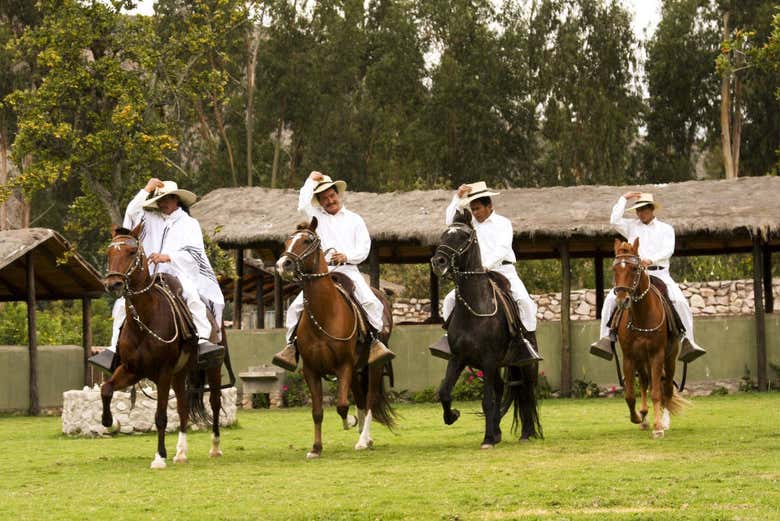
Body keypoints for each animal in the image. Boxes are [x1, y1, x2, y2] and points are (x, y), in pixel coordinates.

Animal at [102, 222, 227, 468]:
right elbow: (106, 389)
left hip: (212, 368)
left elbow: (160, 416)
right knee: (183, 407)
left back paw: (215, 447)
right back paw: (181, 453)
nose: (114, 284)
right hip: (180, 374)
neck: (144, 321)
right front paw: (110, 423)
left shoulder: (163, 373)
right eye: (109, 252)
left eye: (132, 252)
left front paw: (159, 457)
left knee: (215, 403)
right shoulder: (132, 370)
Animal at [276, 217, 396, 458]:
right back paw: (364, 437)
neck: (325, 313)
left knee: (369, 399)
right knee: (360, 397)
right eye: (286, 242)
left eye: (307, 240)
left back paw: (363, 439)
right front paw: (316, 448)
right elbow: (317, 411)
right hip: (358, 370)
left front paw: (350, 421)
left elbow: (341, 405)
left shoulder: (344, 366)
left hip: (373, 366)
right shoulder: (311, 370)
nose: (283, 265)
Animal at [430, 210, 540, 446]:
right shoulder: (458, 358)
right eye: (444, 234)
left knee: (526, 391)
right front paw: (453, 415)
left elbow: (487, 400)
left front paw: (487, 438)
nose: (438, 262)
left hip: (525, 364)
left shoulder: (488, 360)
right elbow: (445, 392)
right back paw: (498, 431)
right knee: (501, 388)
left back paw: (526, 433)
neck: (474, 310)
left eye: (464, 236)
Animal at [616, 238, 688, 436]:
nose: (622, 300)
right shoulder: (629, 357)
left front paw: (658, 427)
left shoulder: (657, 355)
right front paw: (637, 417)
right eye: (614, 268)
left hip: (669, 359)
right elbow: (630, 394)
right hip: (642, 360)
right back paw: (644, 417)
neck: (642, 316)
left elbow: (657, 392)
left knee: (667, 388)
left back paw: (664, 421)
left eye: (634, 269)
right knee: (645, 383)